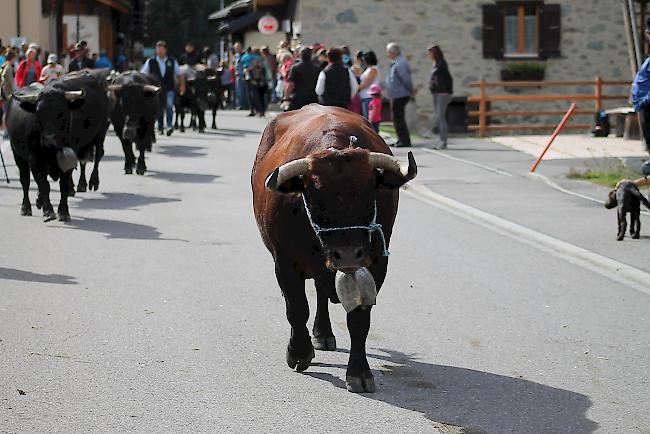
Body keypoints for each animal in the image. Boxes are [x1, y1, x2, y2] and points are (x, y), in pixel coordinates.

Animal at [8, 73, 109, 222]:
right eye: (39, 113)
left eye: (61, 113)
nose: (49, 138)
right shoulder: (35, 161)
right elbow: (44, 185)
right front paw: (48, 210)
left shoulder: (69, 158)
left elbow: (64, 185)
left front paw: (63, 212)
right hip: (18, 155)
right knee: (25, 181)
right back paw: (26, 207)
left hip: (101, 133)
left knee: (96, 157)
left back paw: (91, 182)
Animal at [249, 105, 416, 394]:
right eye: (317, 199)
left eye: (369, 194)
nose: (348, 254)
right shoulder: (283, 262)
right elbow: (296, 308)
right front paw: (299, 353)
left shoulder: (376, 263)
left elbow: (359, 320)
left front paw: (359, 373)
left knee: (320, 291)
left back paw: (324, 333)